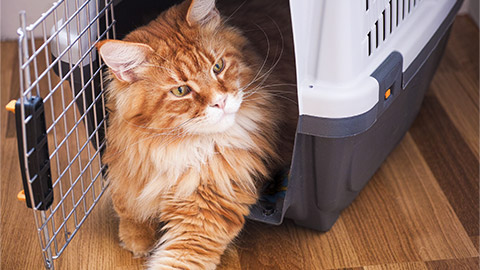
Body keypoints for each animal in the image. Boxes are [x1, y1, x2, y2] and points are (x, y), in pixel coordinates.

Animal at [96, 0, 296, 268]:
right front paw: (137, 239)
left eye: (218, 67)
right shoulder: (126, 162)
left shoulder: (206, 208)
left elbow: (176, 258)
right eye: (181, 91)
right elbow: (126, 203)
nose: (220, 101)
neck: (178, 148)